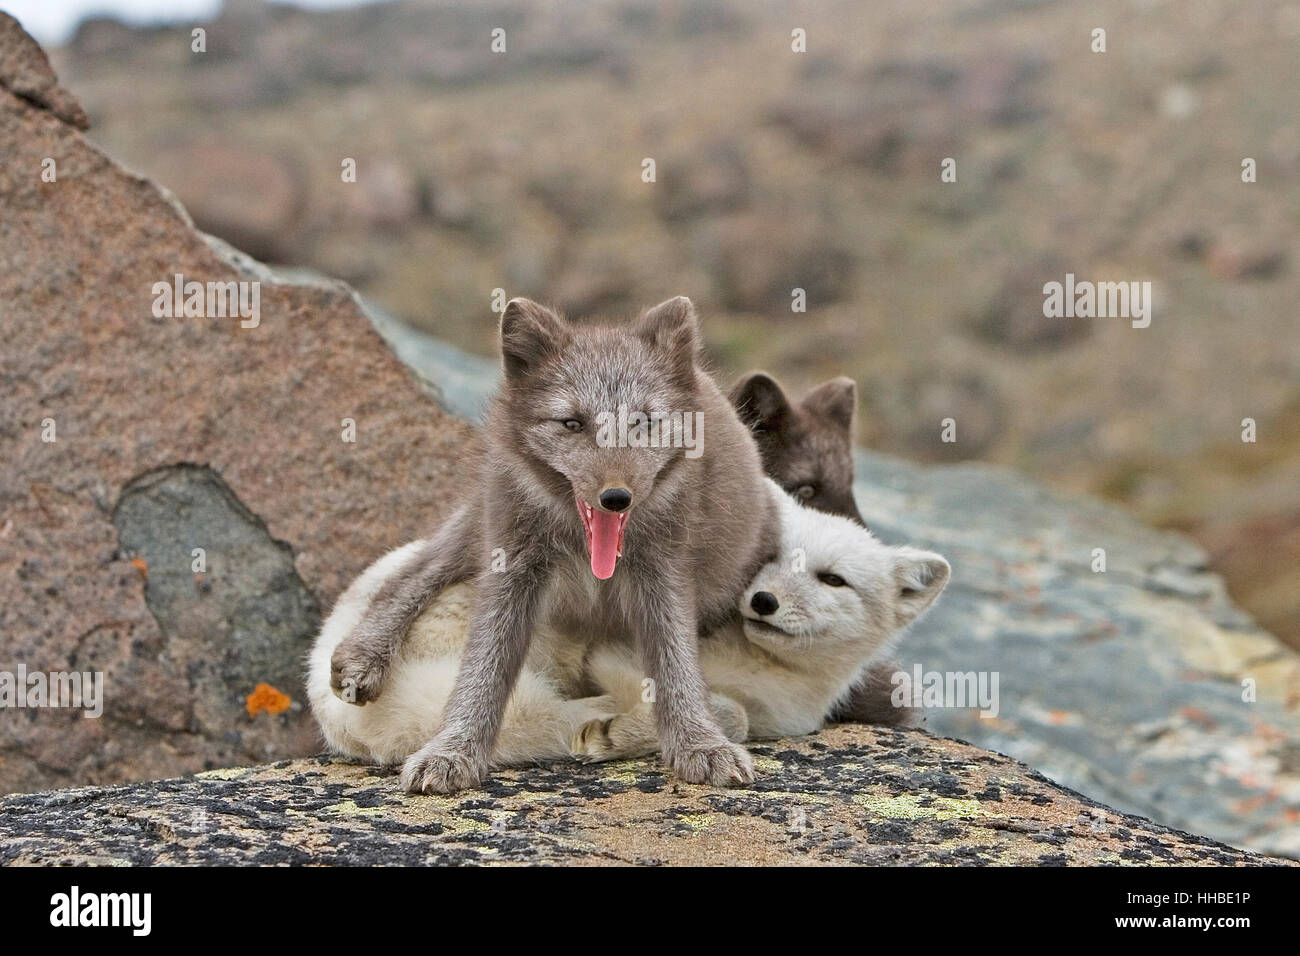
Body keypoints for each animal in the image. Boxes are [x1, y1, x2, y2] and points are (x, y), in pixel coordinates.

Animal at [307, 479, 949, 767]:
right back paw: (602, 727)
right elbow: (726, 714)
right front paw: (643, 725)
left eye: (832, 579)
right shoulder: (615, 653)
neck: (776, 680)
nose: (763, 600)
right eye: (766, 558)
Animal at [328, 296, 779, 792]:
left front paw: (701, 745)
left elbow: (676, 665)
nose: (616, 497)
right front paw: (452, 751)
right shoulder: (510, 563)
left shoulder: (666, 571)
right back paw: (362, 656)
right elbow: (483, 666)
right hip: (482, 518)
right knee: (417, 570)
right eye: (571, 423)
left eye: (643, 422)